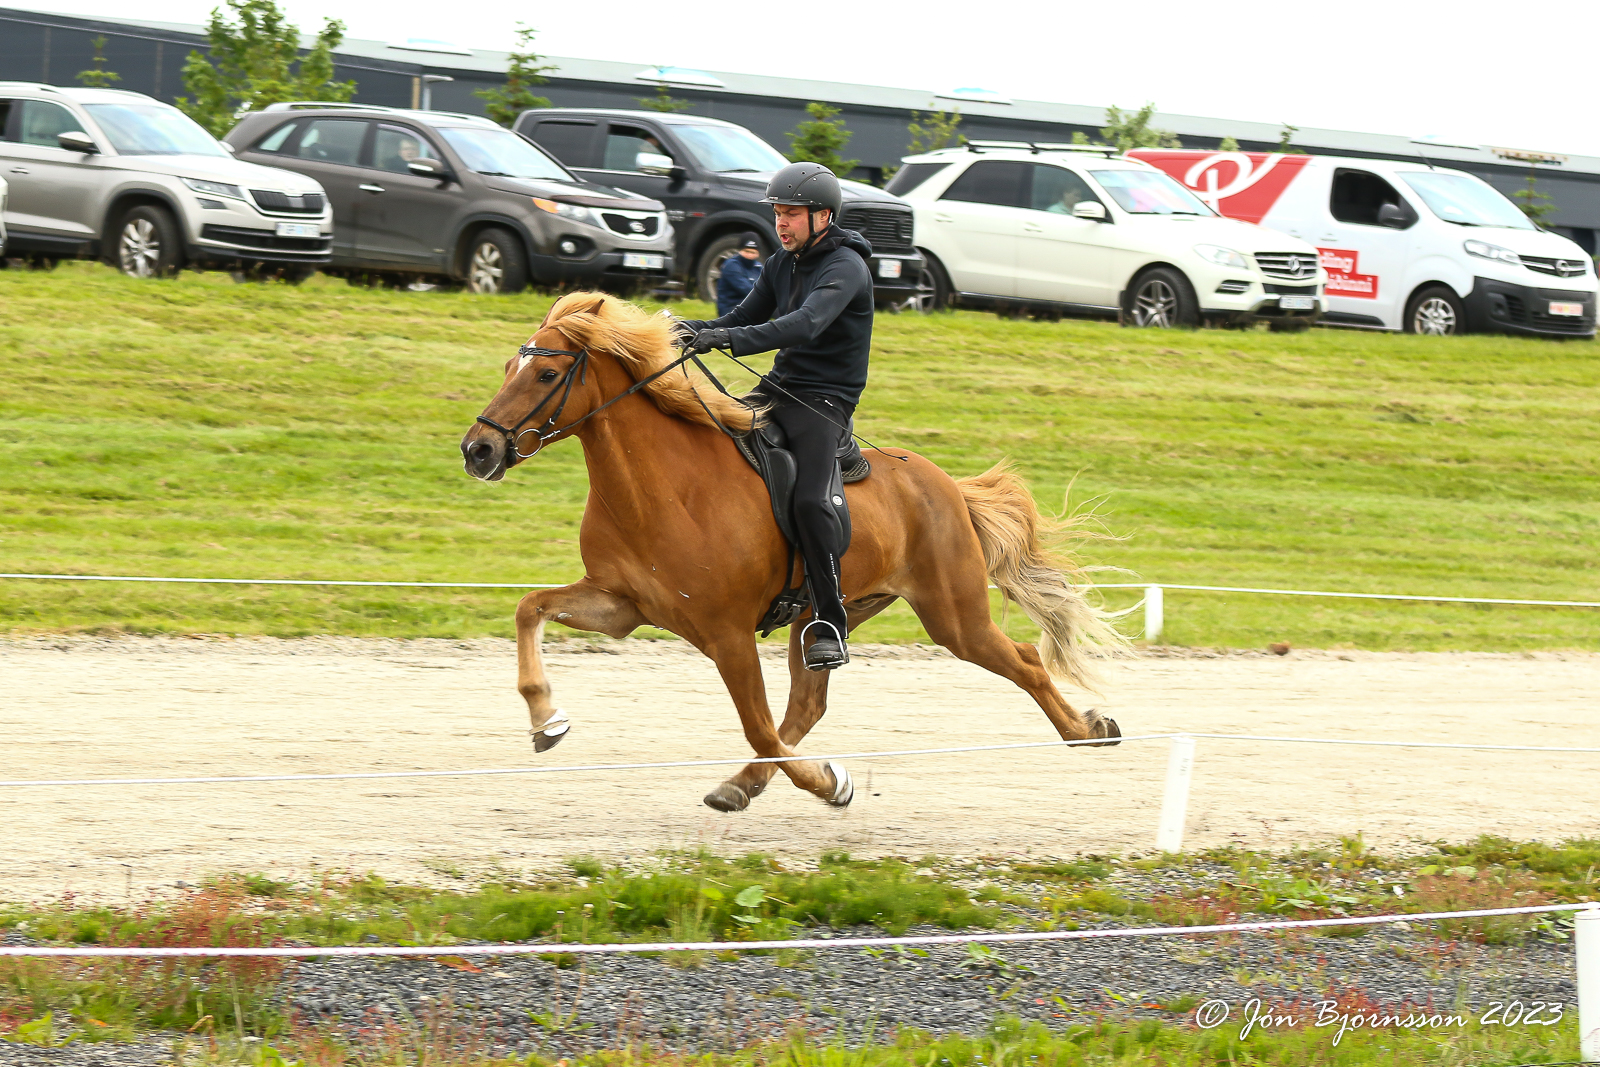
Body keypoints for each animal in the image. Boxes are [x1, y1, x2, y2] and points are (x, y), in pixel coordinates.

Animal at [457, 289, 1120, 809]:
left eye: (546, 375)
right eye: (509, 366)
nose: (478, 450)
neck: (663, 489)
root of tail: (947, 486)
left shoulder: (727, 634)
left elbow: (756, 726)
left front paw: (831, 782)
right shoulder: (621, 605)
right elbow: (529, 608)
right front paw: (547, 719)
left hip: (954, 616)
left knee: (1024, 661)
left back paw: (1089, 730)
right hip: (823, 617)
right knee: (806, 706)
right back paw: (742, 786)